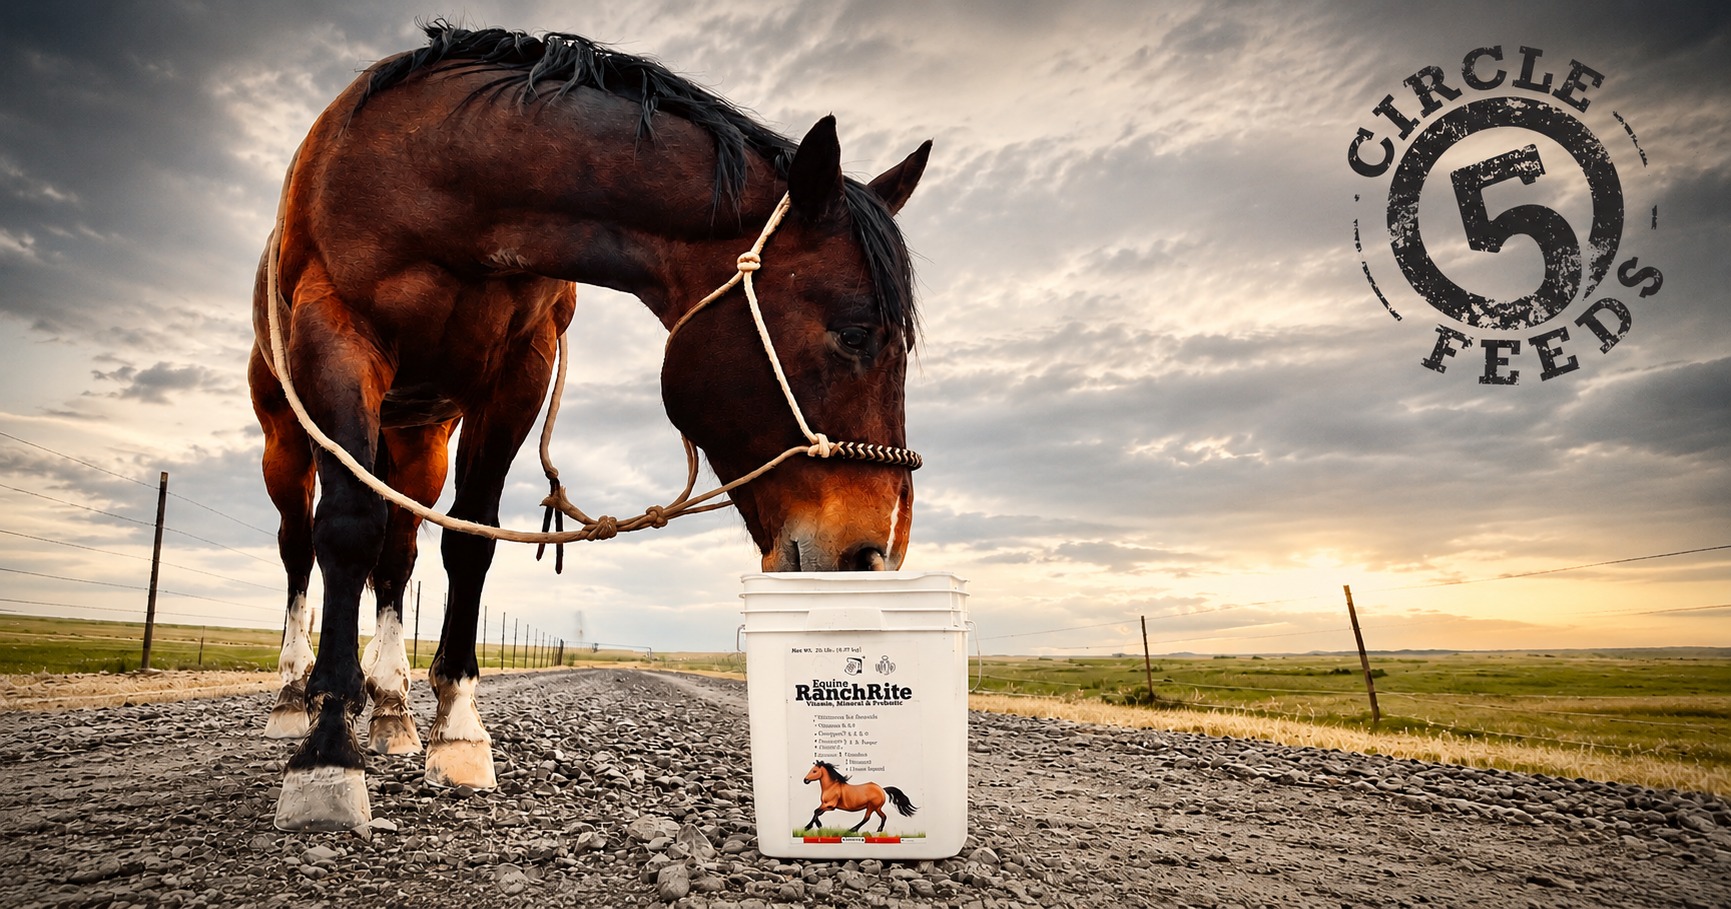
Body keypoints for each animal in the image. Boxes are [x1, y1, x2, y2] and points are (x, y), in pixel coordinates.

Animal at [248, 23, 931, 831]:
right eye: (855, 334)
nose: (871, 555)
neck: (441, 173)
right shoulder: (336, 333)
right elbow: (346, 529)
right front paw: (327, 750)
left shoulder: (519, 368)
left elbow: (469, 542)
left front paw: (457, 728)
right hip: (288, 436)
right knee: (302, 547)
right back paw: (295, 695)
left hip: (416, 439)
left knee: (399, 553)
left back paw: (390, 709)